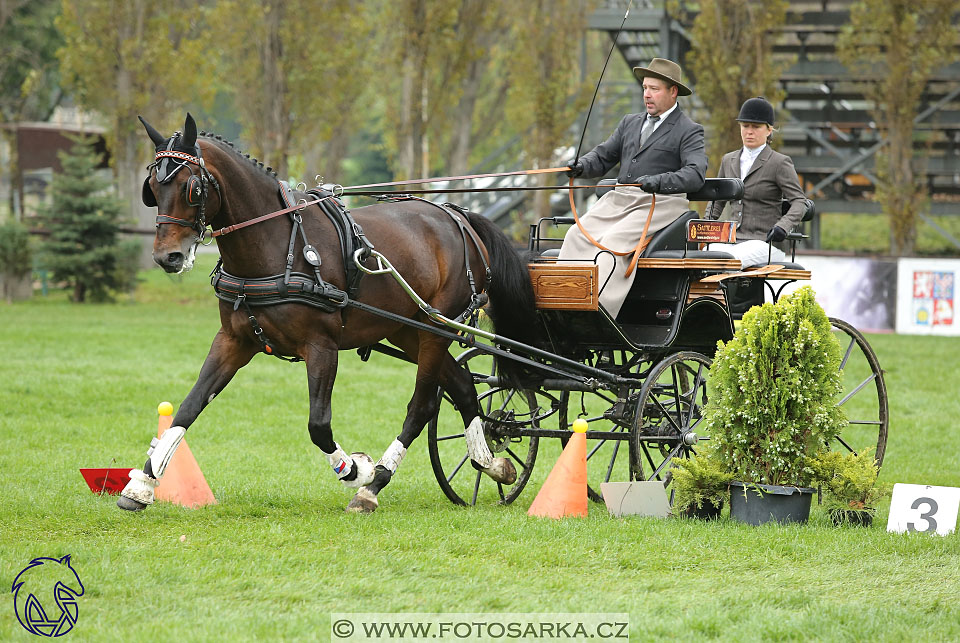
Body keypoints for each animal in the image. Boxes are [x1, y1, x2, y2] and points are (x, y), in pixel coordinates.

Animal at [118, 113, 540, 516]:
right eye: (151, 189)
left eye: (191, 188)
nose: (167, 257)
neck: (276, 244)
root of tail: (457, 215)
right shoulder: (233, 341)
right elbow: (187, 408)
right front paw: (142, 486)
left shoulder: (322, 346)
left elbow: (318, 426)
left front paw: (357, 469)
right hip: (406, 330)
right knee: (464, 385)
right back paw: (492, 463)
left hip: (435, 329)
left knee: (422, 406)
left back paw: (373, 486)